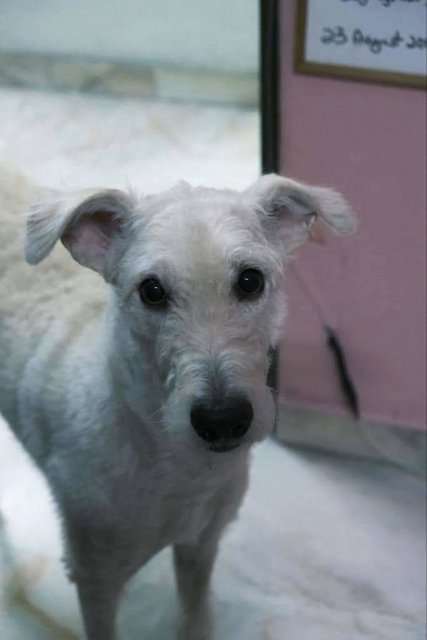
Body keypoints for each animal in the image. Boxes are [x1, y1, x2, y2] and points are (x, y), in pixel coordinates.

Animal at [0, 162, 354, 636]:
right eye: (151, 290)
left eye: (250, 280)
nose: (222, 420)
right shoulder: (94, 579)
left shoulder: (200, 546)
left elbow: (195, 610)